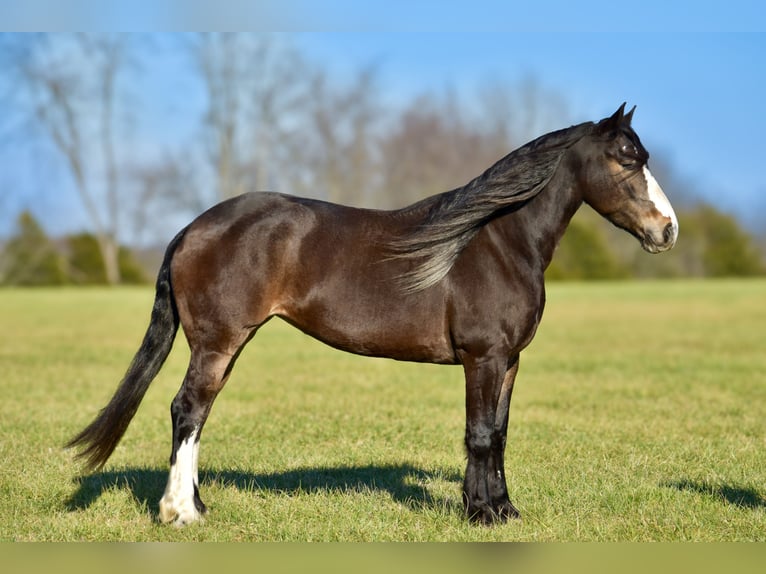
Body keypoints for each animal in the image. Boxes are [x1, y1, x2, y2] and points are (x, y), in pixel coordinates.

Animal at [66, 103, 680, 528]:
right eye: (626, 159)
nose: (667, 230)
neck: (497, 241)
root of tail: (194, 228)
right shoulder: (482, 359)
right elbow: (481, 433)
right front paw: (481, 515)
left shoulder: (507, 362)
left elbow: (499, 433)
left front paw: (502, 509)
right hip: (218, 342)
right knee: (187, 409)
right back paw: (181, 513)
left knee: (196, 413)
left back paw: (197, 503)